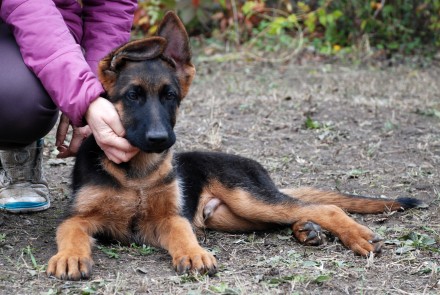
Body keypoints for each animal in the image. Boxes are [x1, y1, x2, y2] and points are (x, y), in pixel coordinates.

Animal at [47, 11, 426, 280]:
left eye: (170, 96)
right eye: (132, 96)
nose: (160, 140)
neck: (136, 173)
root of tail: (259, 171)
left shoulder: (170, 217)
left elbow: (183, 234)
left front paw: (194, 253)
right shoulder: (78, 217)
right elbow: (72, 233)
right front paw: (70, 257)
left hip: (248, 198)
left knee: (325, 207)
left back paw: (351, 234)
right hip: (232, 216)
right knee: (295, 214)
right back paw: (306, 231)